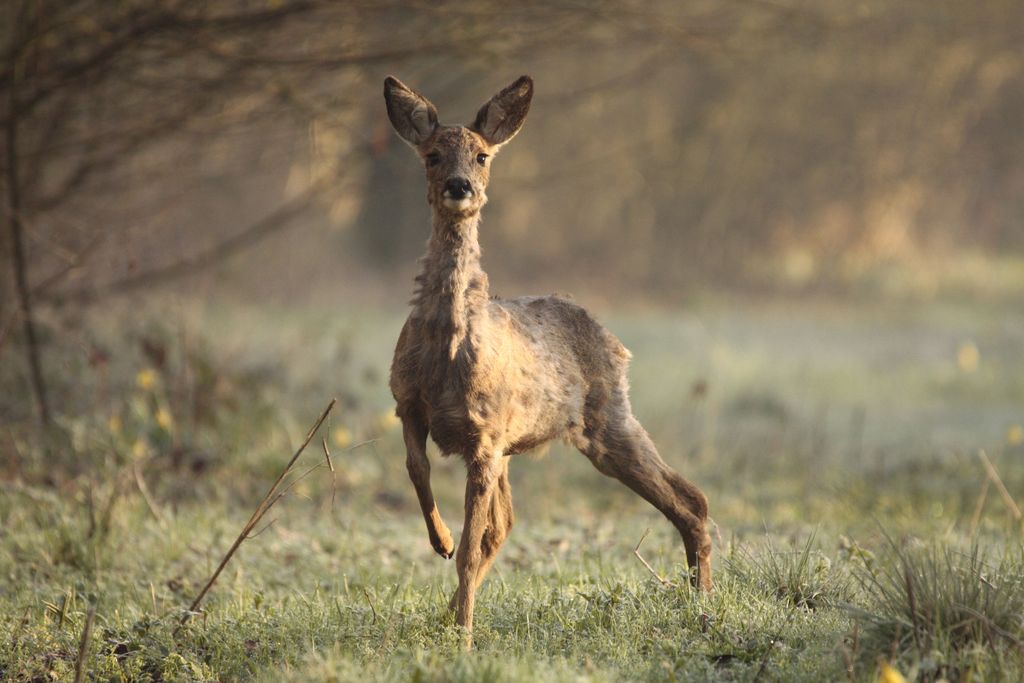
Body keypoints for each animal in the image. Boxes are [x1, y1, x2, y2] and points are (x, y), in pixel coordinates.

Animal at [385, 74, 712, 647]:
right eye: (431, 155)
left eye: (482, 155)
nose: (459, 186)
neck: (445, 350)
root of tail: (613, 339)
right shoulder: (410, 404)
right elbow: (417, 470)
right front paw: (440, 541)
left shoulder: (485, 436)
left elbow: (471, 546)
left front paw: (464, 634)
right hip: (534, 442)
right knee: (506, 526)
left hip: (607, 420)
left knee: (691, 500)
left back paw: (704, 602)